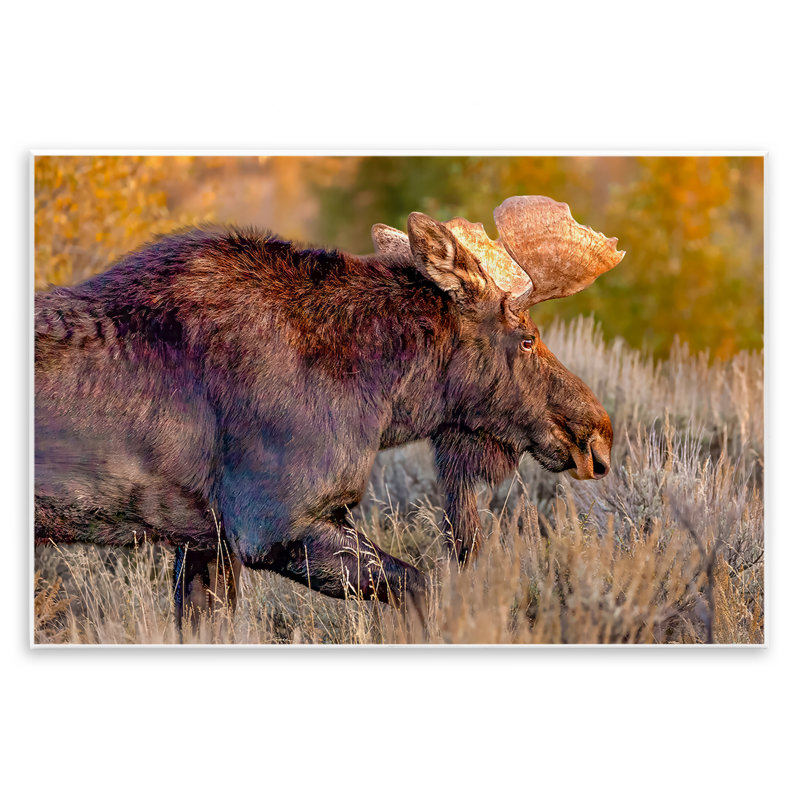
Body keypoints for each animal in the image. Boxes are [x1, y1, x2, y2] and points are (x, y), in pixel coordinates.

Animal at [34, 195, 624, 632]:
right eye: (526, 338)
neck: (384, 398)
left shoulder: (206, 541)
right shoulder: (275, 524)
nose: (597, 434)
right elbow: (421, 587)